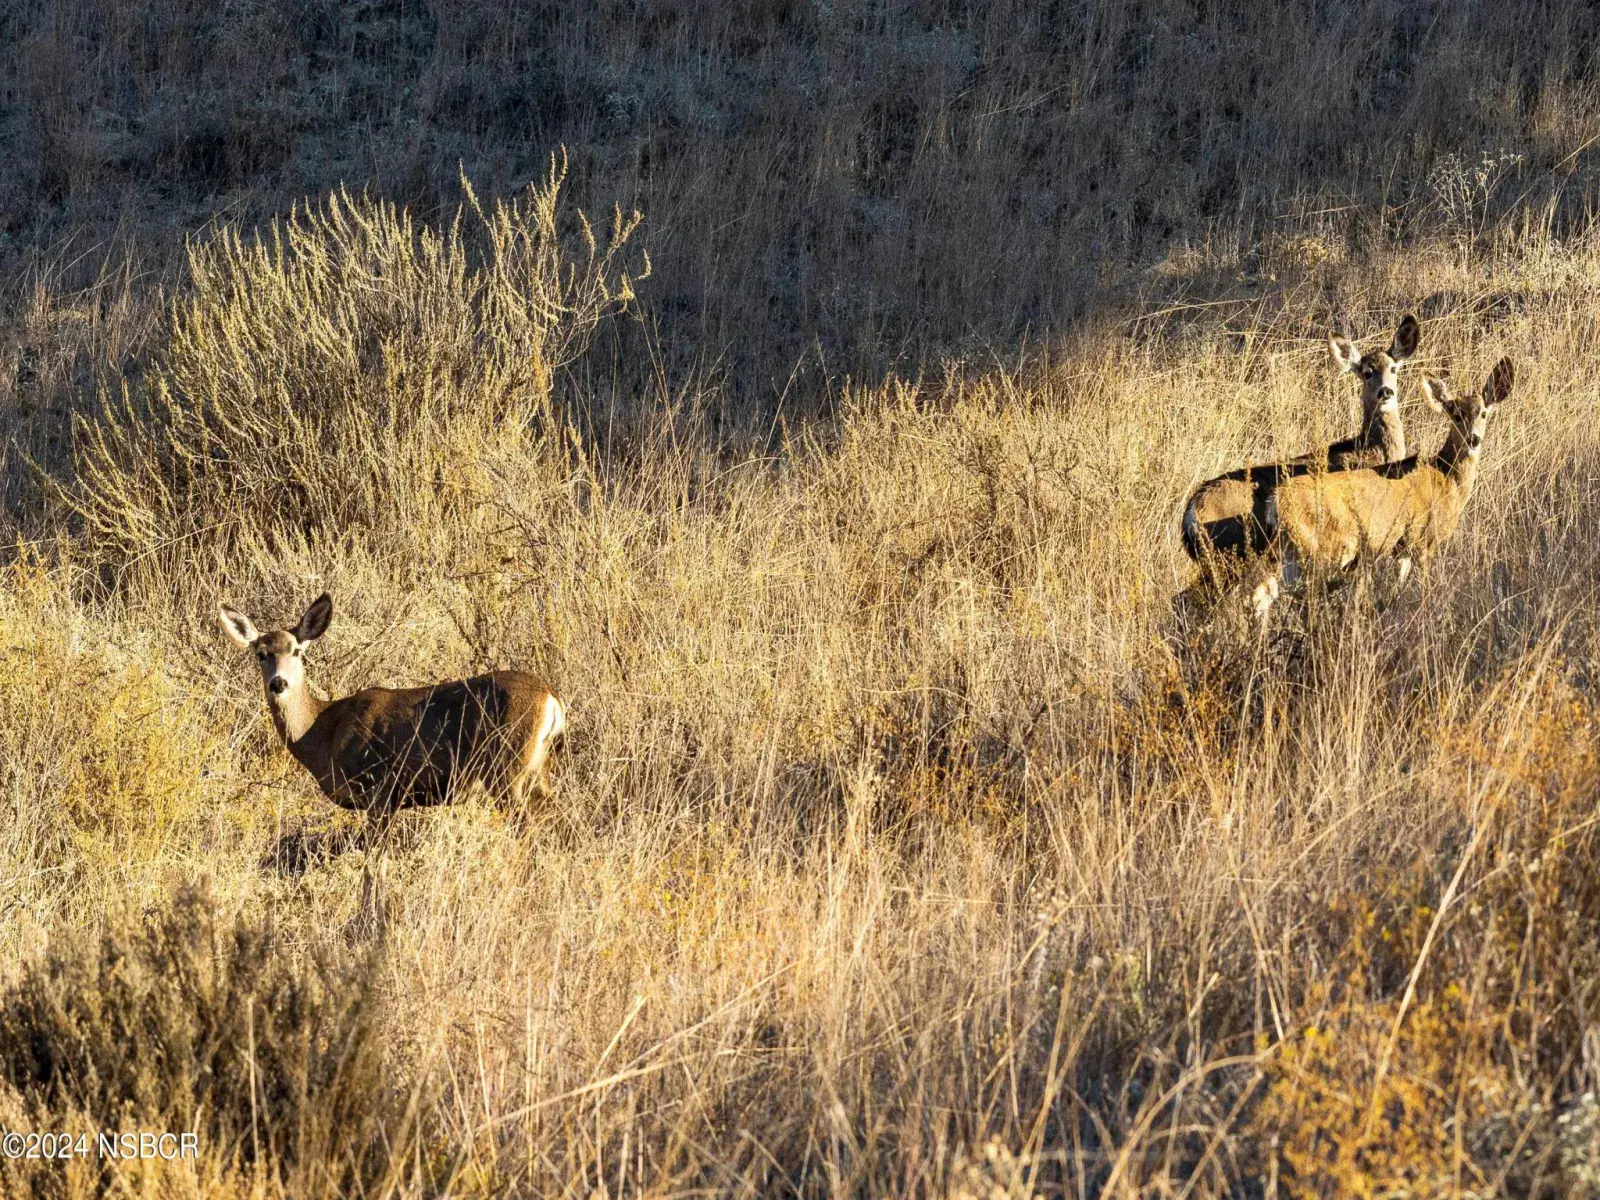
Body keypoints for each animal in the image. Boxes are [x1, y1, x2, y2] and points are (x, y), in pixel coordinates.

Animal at [218, 593, 566, 818]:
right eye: (261, 654)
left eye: (296, 651)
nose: (279, 683)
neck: (322, 733)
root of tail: (552, 699)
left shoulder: (379, 791)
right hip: (538, 771)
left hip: (506, 767)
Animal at [1180, 314, 1421, 568]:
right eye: (1367, 372)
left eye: (1393, 368)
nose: (1385, 392)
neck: (1370, 449)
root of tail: (1190, 514)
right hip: (1234, 552)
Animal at [1250, 357, 1515, 623]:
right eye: (1456, 415)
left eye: (1483, 413)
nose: (1473, 439)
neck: (1446, 480)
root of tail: (1275, 502)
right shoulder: (1423, 540)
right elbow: (1424, 588)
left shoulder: (1402, 550)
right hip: (1327, 546)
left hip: (1286, 550)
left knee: (1263, 594)